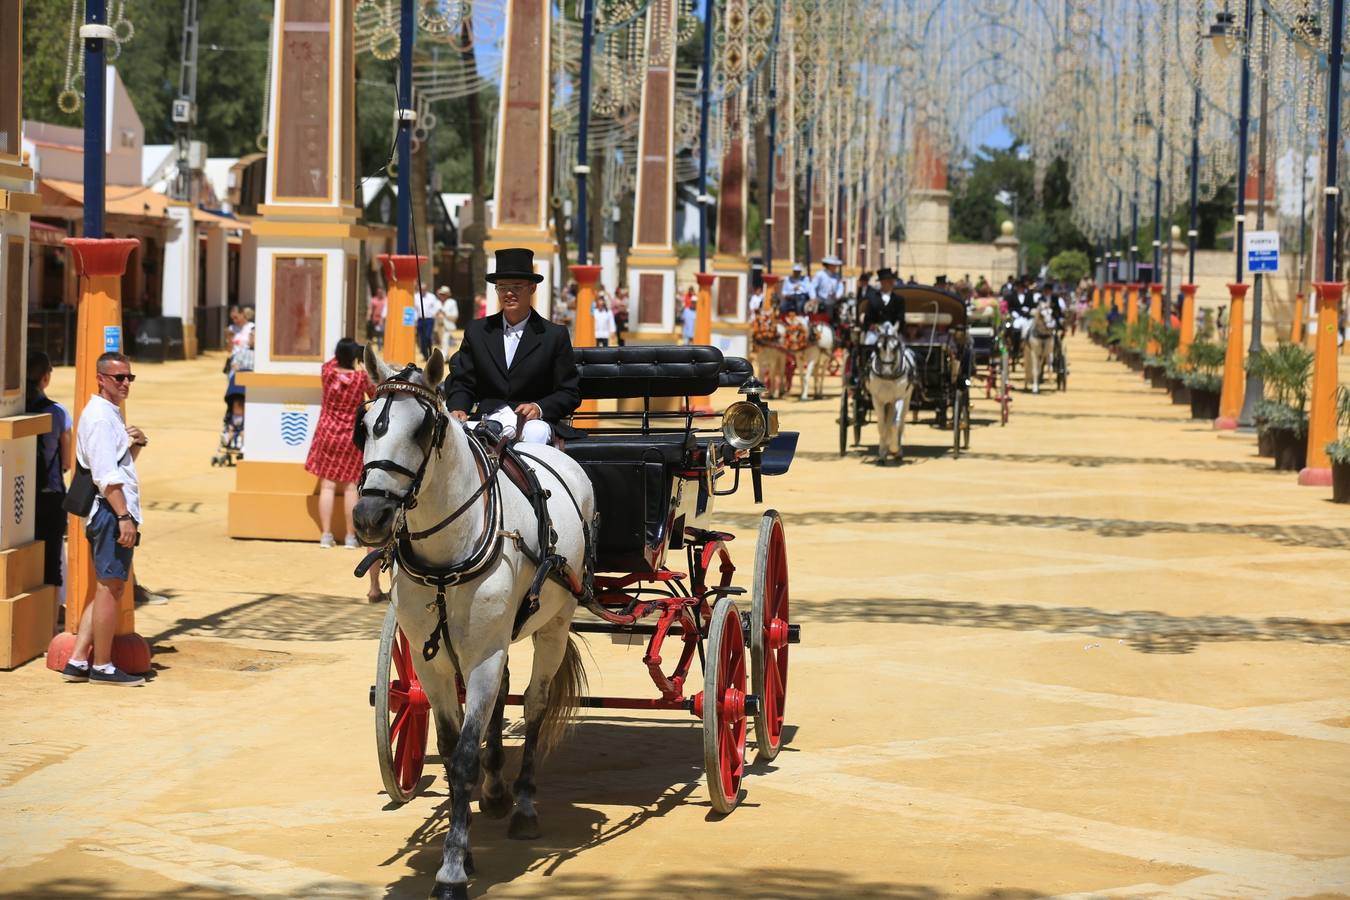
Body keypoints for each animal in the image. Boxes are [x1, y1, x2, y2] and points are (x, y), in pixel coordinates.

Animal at [353, 348, 596, 900]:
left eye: (424, 428)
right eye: (364, 426)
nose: (370, 516)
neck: (450, 548)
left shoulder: (484, 653)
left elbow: (464, 754)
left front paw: (451, 870)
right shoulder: (435, 663)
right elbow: (449, 748)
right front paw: (462, 844)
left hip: (553, 625)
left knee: (534, 705)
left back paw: (523, 805)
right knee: (503, 698)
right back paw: (498, 790)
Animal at [864, 323, 918, 464]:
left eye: (895, 347)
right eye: (877, 347)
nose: (887, 372)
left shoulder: (898, 398)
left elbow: (894, 424)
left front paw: (894, 448)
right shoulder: (877, 399)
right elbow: (882, 426)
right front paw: (882, 453)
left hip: (906, 400)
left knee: (900, 422)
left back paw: (898, 451)